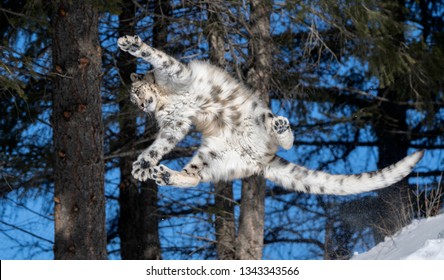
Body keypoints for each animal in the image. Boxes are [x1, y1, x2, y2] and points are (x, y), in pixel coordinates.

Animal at [117, 35, 424, 196]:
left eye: (137, 91)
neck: (166, 101)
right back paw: (165, 175)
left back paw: (281, 127)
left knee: (284, 138)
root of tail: (258, 157)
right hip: (213, 157)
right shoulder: (175, 124)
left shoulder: (176, 75)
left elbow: (157, 57)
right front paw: (143, 164)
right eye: (133, 100)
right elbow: (161, 145)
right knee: (194, 176)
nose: (142, 106)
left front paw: (131, 45)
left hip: (258, 116)